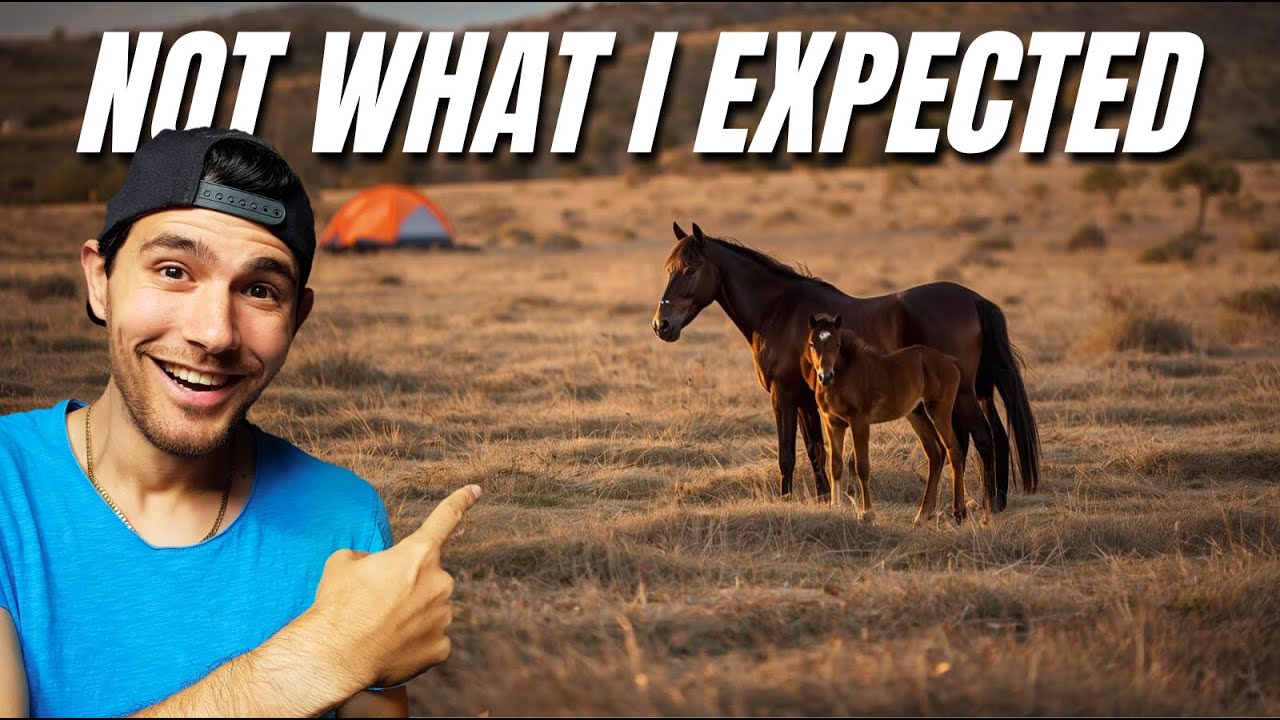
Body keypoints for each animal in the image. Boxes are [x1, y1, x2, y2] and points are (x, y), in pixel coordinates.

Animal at [805, 313, 973, 525]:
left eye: (837, 344)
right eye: (812, 344)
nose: (825, 376)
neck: (842, 377)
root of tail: (951, 363)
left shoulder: (859, 421)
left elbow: (862, 466)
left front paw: (867, 513)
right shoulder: (832, 422)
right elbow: (835, 465)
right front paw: (836, 508)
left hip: (939, 411)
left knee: (954, 451)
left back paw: (958, 513)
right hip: (917, 414)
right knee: (935, 453)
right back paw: (923, 514)